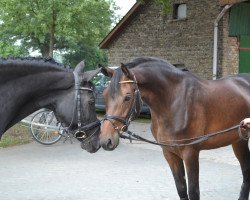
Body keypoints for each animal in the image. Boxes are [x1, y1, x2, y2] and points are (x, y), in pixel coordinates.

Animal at [99, 56, 250, 200]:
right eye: (104, 95)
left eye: (127, 97)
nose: (106, 140)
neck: (173, 101)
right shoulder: (169, 153)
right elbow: (181, 189)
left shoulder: (190, 153)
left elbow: (193, 192)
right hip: (239, 140)